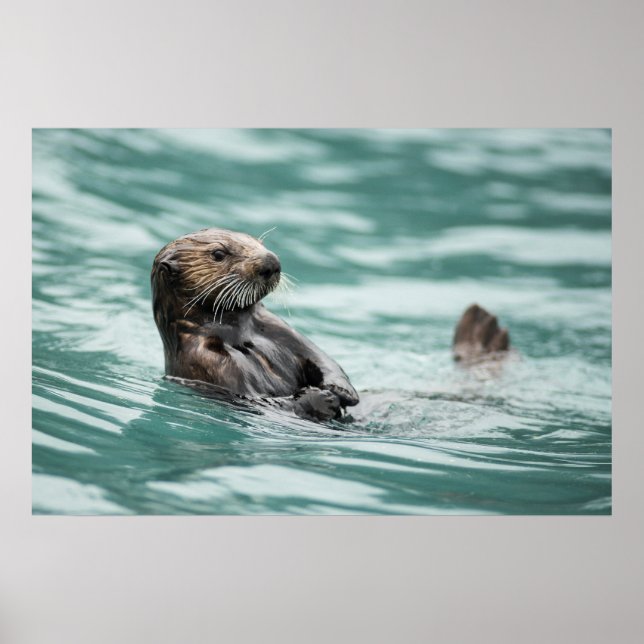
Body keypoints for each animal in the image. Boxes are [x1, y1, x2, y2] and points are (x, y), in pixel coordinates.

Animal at [151, 228, 510, 422]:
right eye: (218, 253)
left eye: (256, 241)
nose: (271, 261)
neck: (239, 334)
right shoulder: (208, 362)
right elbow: (263, 401)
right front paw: (322, 400)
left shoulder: (277, 327)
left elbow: (322, 358)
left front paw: (341, 390)